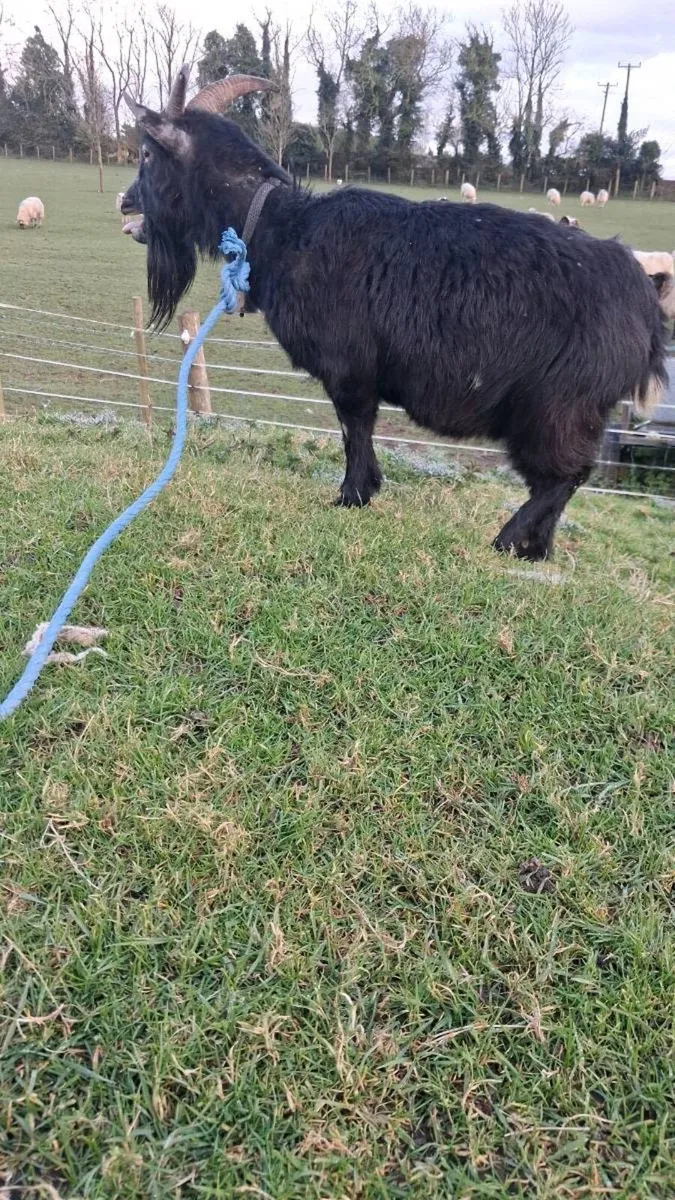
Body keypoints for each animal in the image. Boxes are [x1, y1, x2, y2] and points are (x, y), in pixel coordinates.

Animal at [121, 67, 666, 561]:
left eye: (147, 154)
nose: (124, 200)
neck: (286, 230)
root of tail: (644, 300)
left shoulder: (350, 369)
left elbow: (354, 430)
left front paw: (351, 495)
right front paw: (359, 494)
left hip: (557, 406)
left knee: (562, 476)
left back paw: (508, 540)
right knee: (561, 480)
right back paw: (536, 548)